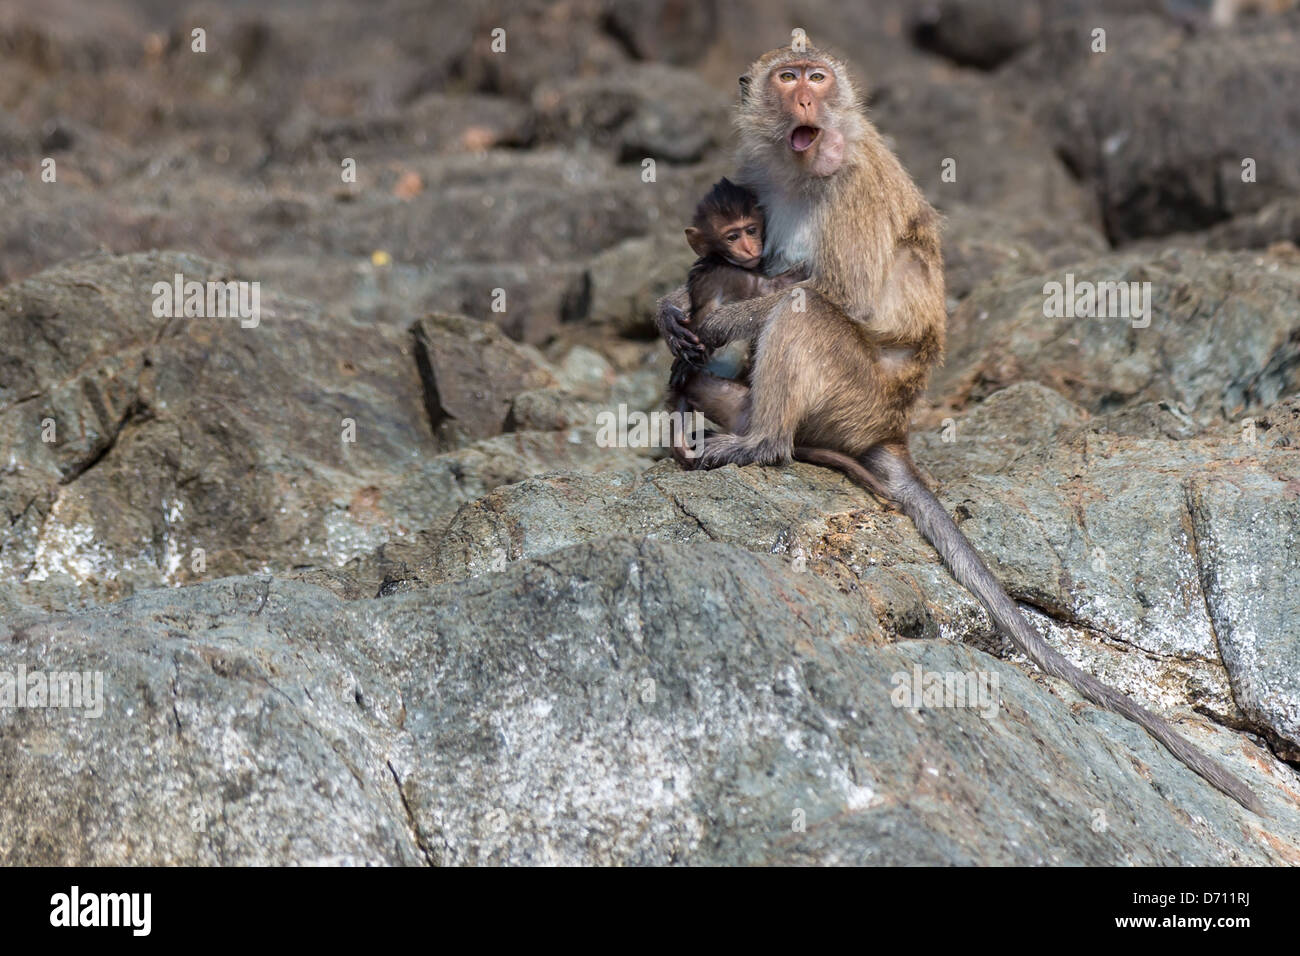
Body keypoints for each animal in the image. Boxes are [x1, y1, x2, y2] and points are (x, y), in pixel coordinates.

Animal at [670, 180, 800, 468]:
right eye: (732, 237)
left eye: (751, 230)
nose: (750, 247)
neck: (722, 259)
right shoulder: (732, 276)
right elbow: (771, 288)